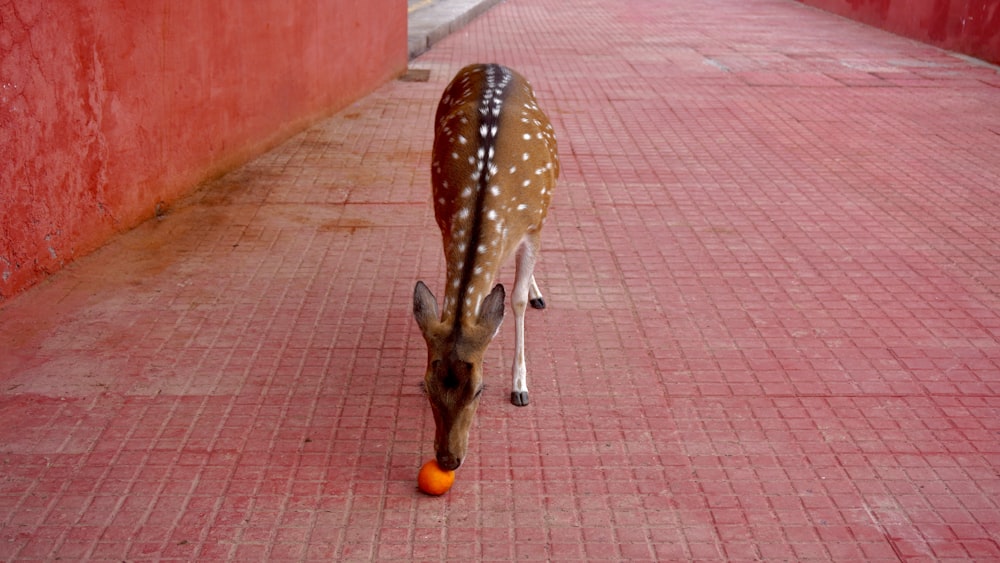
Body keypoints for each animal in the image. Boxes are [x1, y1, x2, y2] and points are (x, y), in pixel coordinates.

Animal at [412, 62, 560, 472]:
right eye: (427, 385)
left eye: (479, 388)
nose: (448, 459)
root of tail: (491, 64)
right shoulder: (446, 224)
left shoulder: (533, 228)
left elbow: (517, 301)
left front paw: (520, 387)